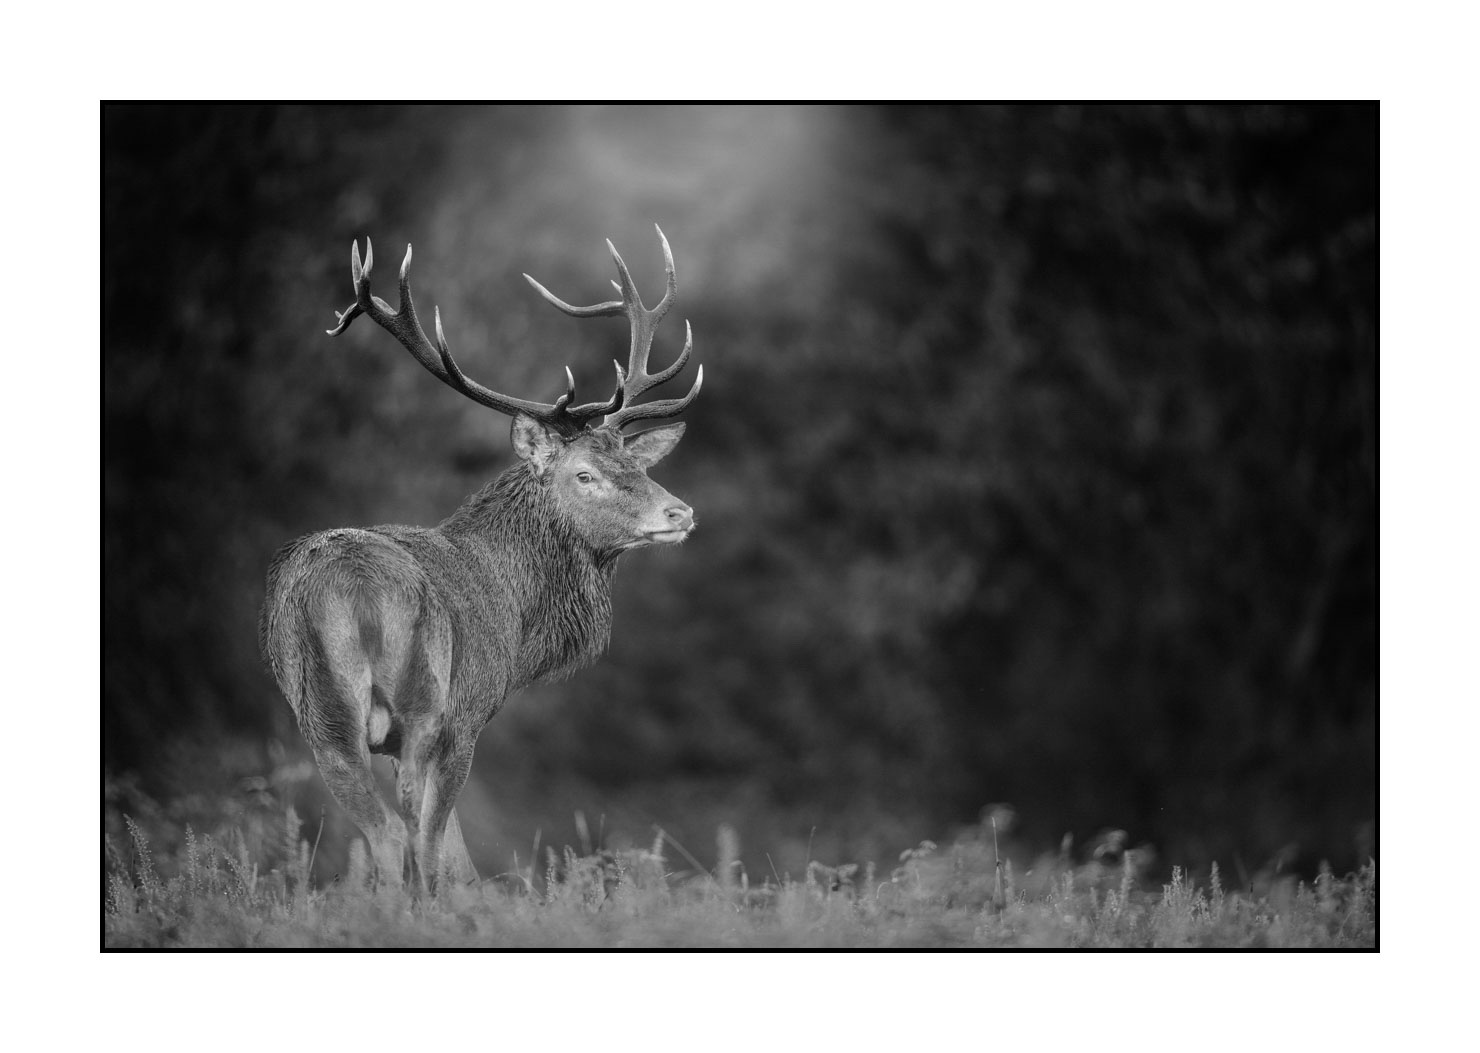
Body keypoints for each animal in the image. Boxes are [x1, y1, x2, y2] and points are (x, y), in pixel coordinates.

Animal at [259, 227, 702, 894]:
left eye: (637, 464)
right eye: (585, 474)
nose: (680, 513)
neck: (518, 630)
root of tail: (354, 591)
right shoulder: (469, 712)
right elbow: (452, 850)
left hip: (323, 717)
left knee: (383, 833)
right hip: (427, 701)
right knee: (411, 832)